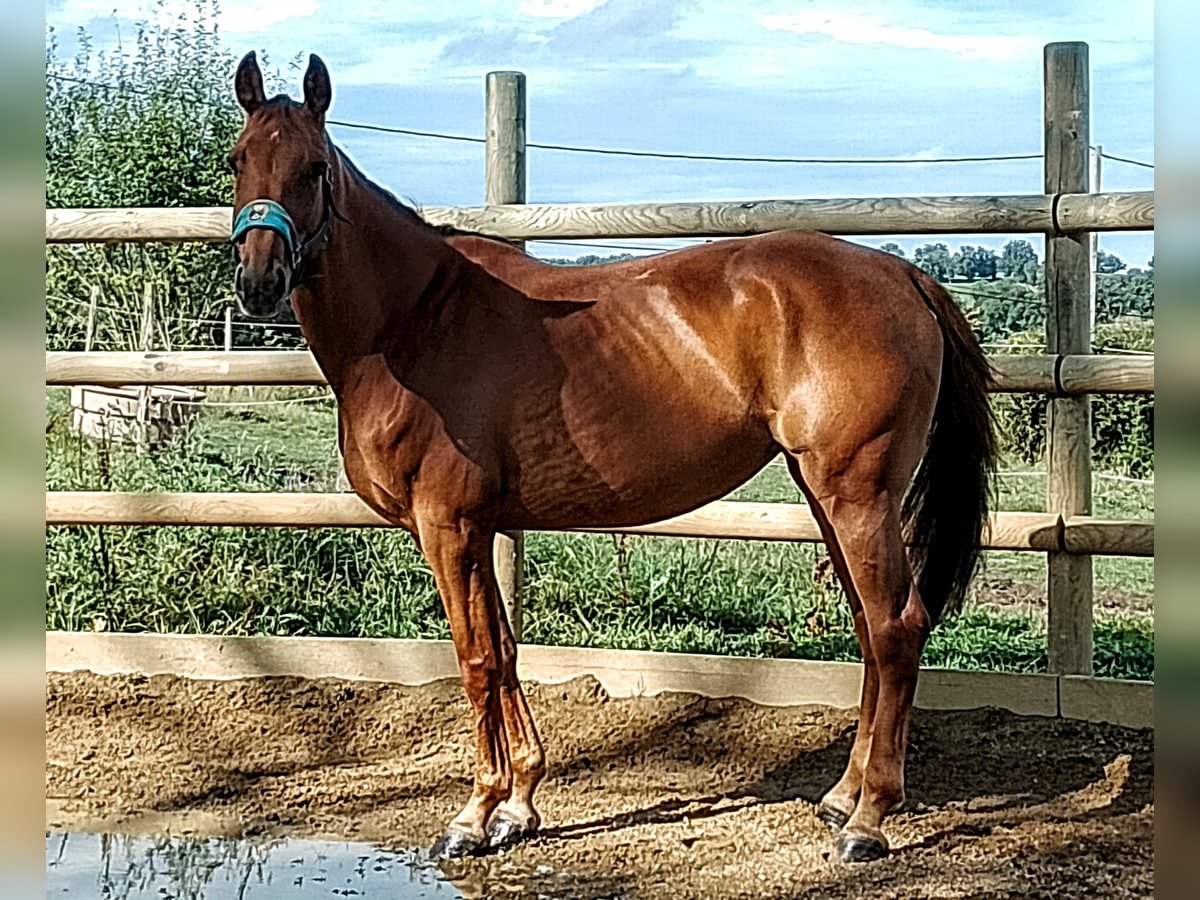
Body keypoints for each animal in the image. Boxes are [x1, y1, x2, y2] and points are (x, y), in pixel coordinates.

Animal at [225, 51, 993, 868]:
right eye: (238, 160)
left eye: (313, 167)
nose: (259, 281)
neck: (415, 322)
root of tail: (902, 274)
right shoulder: (481, 527)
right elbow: (504, 651)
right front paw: (518, 807)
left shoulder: (448, 526)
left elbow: (475, 660)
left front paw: (473, 815)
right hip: (827, 498)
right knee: (870, 632)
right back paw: (841, 796)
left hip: (858, 494)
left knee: (895, 629)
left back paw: (869, 819)